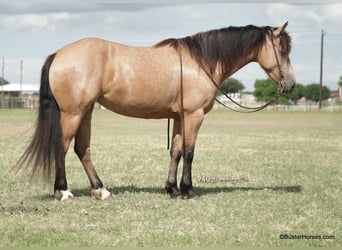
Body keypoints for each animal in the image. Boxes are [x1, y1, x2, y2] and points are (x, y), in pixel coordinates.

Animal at [20, 22, 296, 201]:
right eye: (282, 50)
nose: (291, 84)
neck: (201, 62)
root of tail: (59, 54)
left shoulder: (179, 117)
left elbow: (175, 152)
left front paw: (172, 189)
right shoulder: (194, 115)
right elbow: (189, 152)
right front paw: (188, 191)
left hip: (85, 112)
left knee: (82, 149)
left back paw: (100, 190)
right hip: (73, 113)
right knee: (62, 147)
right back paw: (64, 191)